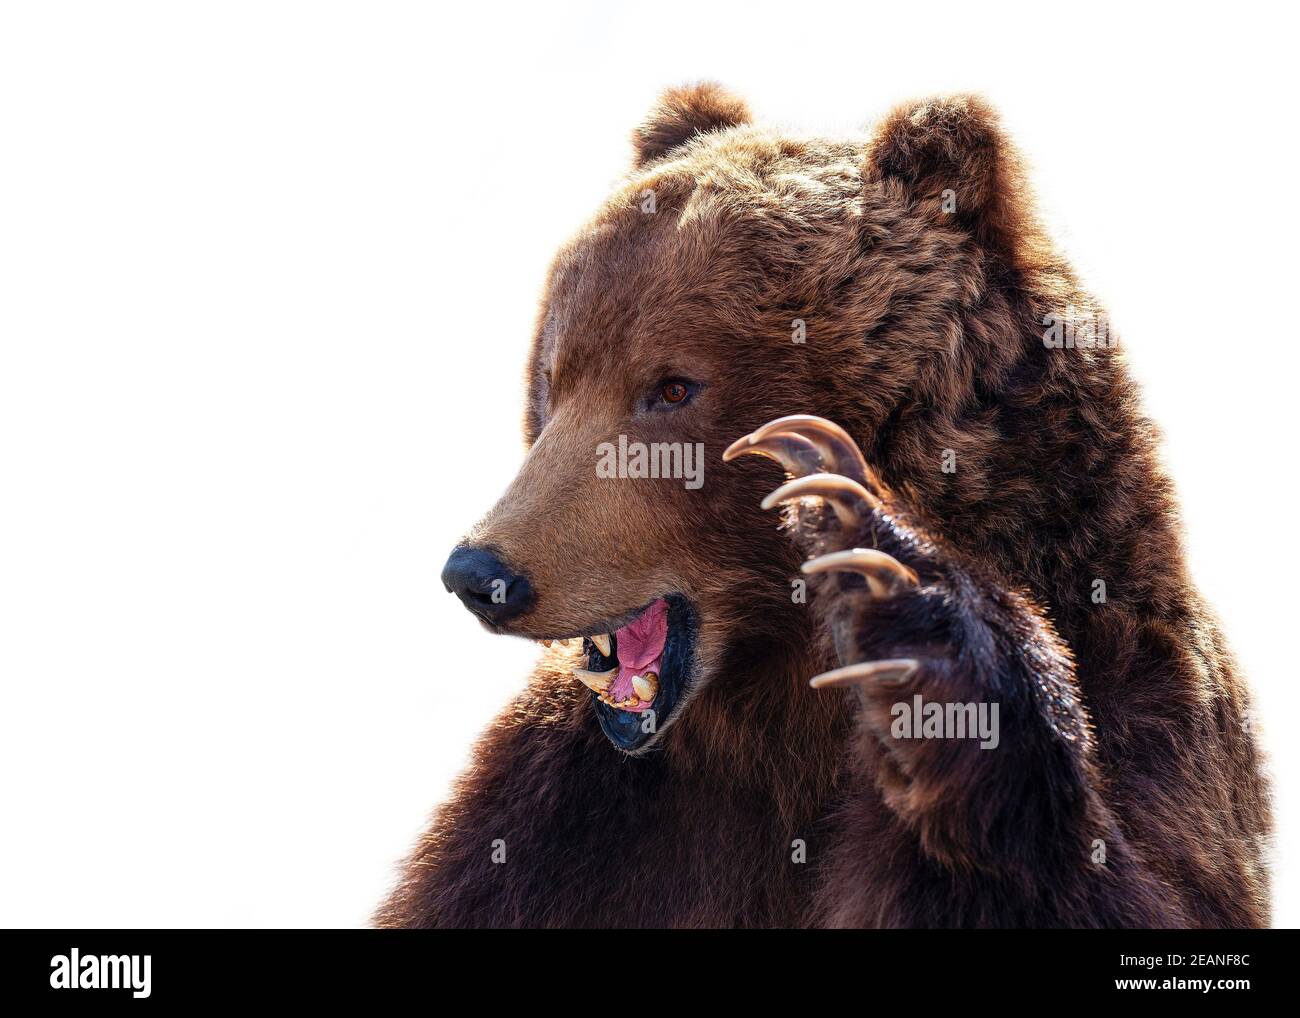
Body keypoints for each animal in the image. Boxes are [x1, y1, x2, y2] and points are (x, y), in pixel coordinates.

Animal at [375, 84, 1272, 928]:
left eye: (672, 386)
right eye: (552, 378)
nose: (481, 572)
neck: (783, 721)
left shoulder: (1147, 708)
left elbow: (1138, 879)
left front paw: (903, 608)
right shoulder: (578, 821)